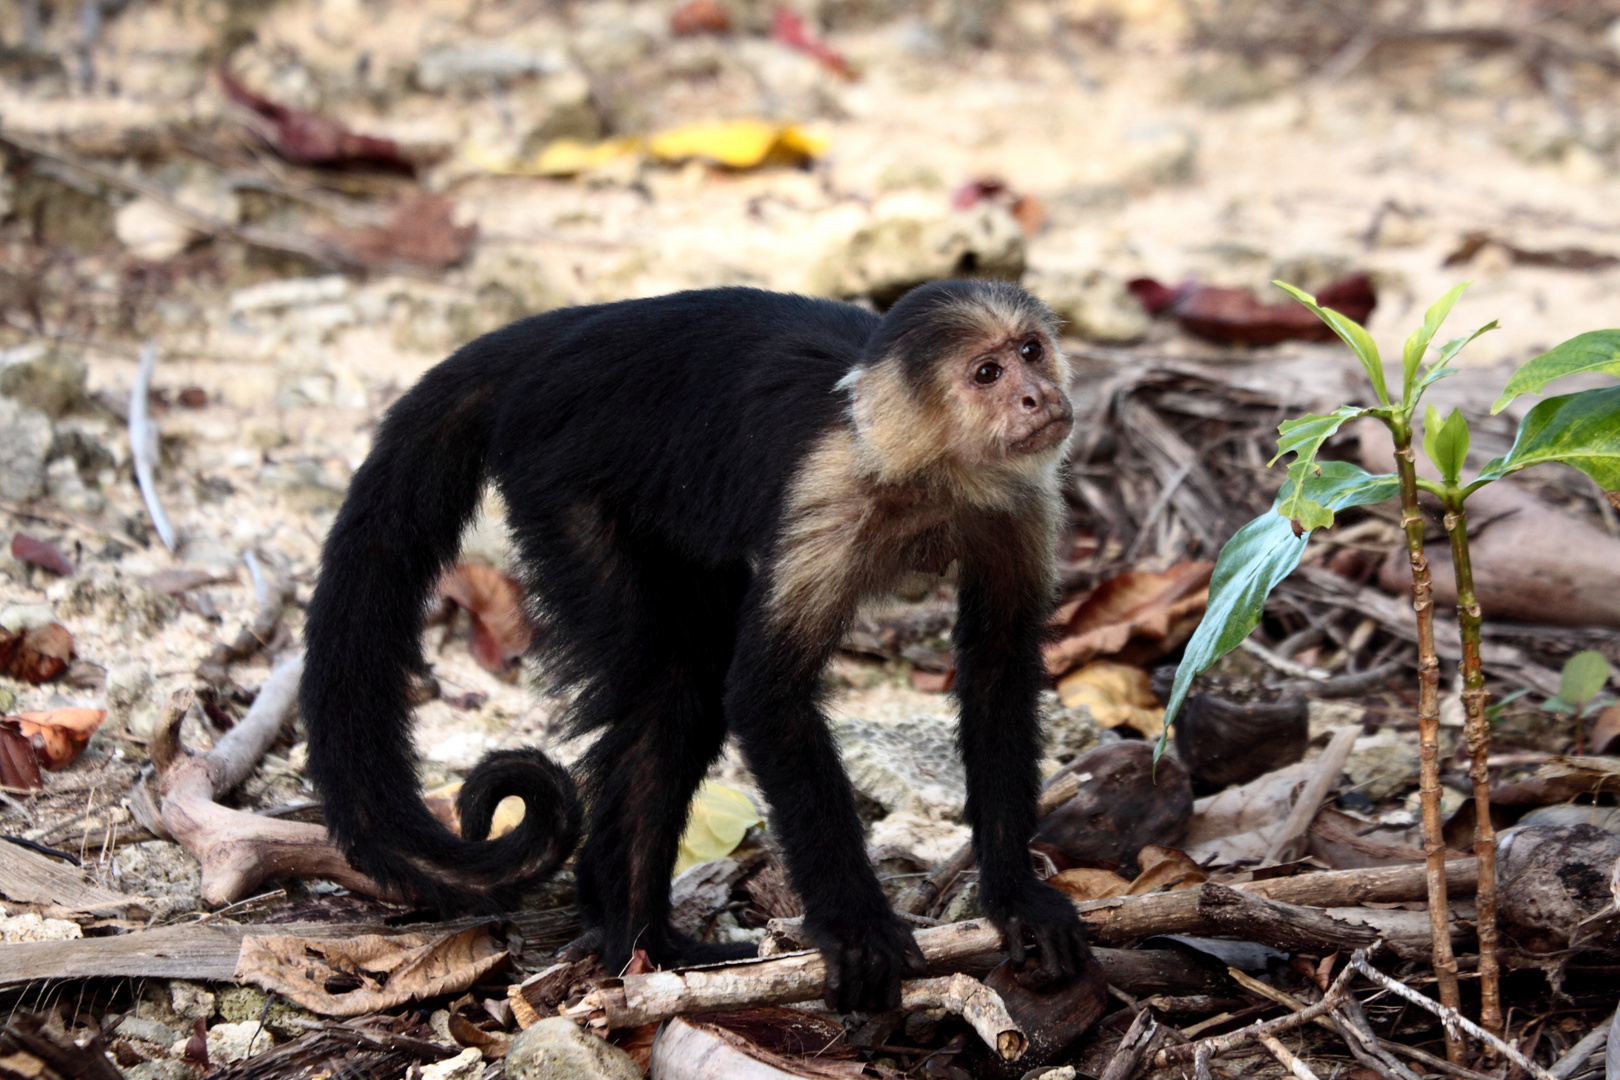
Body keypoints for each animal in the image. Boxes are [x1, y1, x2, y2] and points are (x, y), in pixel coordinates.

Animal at [301, 278, 1088, 1016]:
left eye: (1030, 351)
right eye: (986, 373)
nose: (1038, 395)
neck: (929, 474)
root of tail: (566, 332)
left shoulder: (1020, 501)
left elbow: (997, 671)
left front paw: (1015, 894)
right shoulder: (832, 492)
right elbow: (767, 697)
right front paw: (857, 926)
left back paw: (630, 928)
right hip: (563, 473)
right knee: (675, 691)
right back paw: (637, 939)